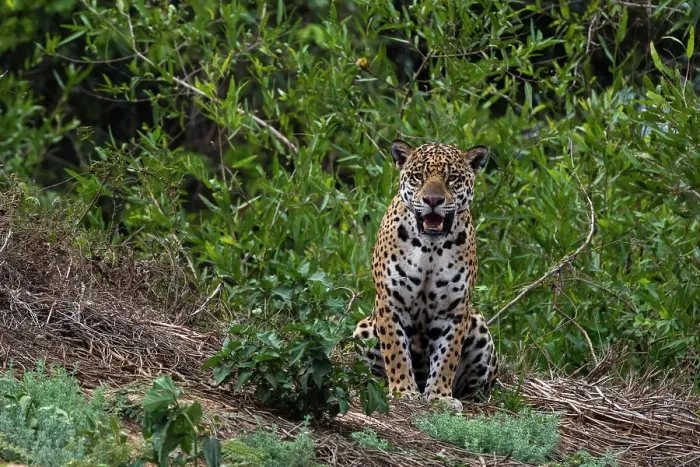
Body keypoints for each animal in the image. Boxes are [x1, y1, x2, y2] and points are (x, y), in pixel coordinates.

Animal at [353, 139, 498, 411]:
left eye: (452, 178)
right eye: (418, 177)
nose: (433, 200)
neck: (431, 248)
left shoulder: (454, 309)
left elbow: (447, 356)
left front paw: (440, 396)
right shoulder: (390, 302)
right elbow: (396, 350)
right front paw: (403, 391)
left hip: (479, 327)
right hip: (363, 329)